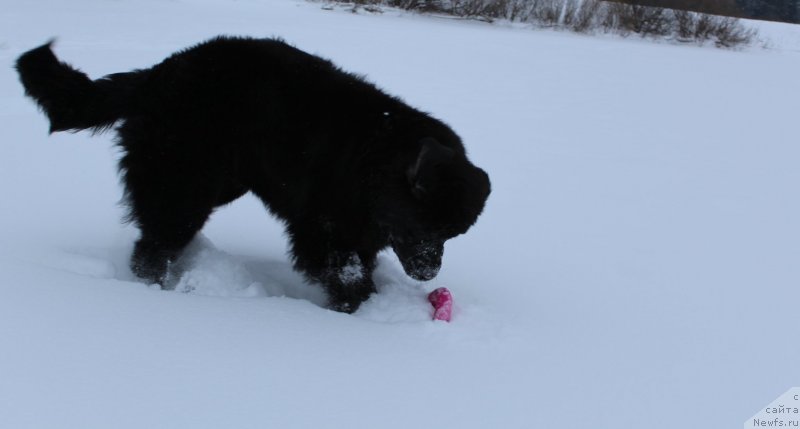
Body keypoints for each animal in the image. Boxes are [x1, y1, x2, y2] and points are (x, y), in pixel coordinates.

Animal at [15, 36, 490, 310]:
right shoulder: (324, 228)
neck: (376, 163)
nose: (429, 273)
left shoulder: (361, 231)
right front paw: (361, 310)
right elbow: (345, 272)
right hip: (181, 182)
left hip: (219, 182)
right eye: (423, 228)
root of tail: (158, 75)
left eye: (452, 234)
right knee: (153, 245)